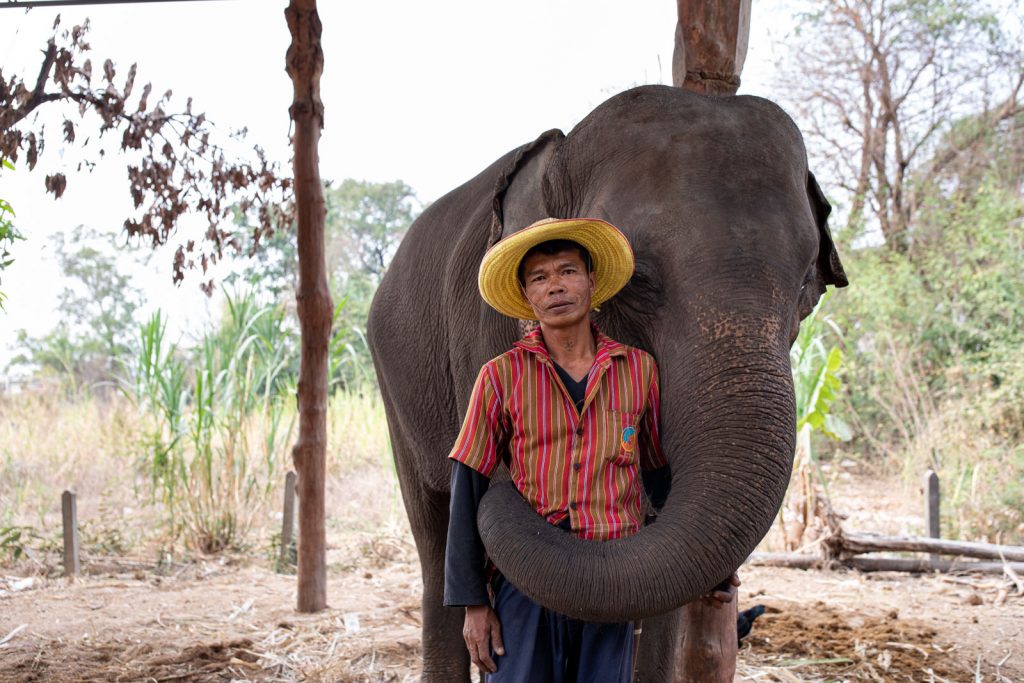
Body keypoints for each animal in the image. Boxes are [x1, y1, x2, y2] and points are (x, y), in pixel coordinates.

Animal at [367, 84, 847, 681]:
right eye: (636, 278)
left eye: (808, 284)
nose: (501, 483)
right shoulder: (482, 332)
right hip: (394, 387)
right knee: (437, 541)